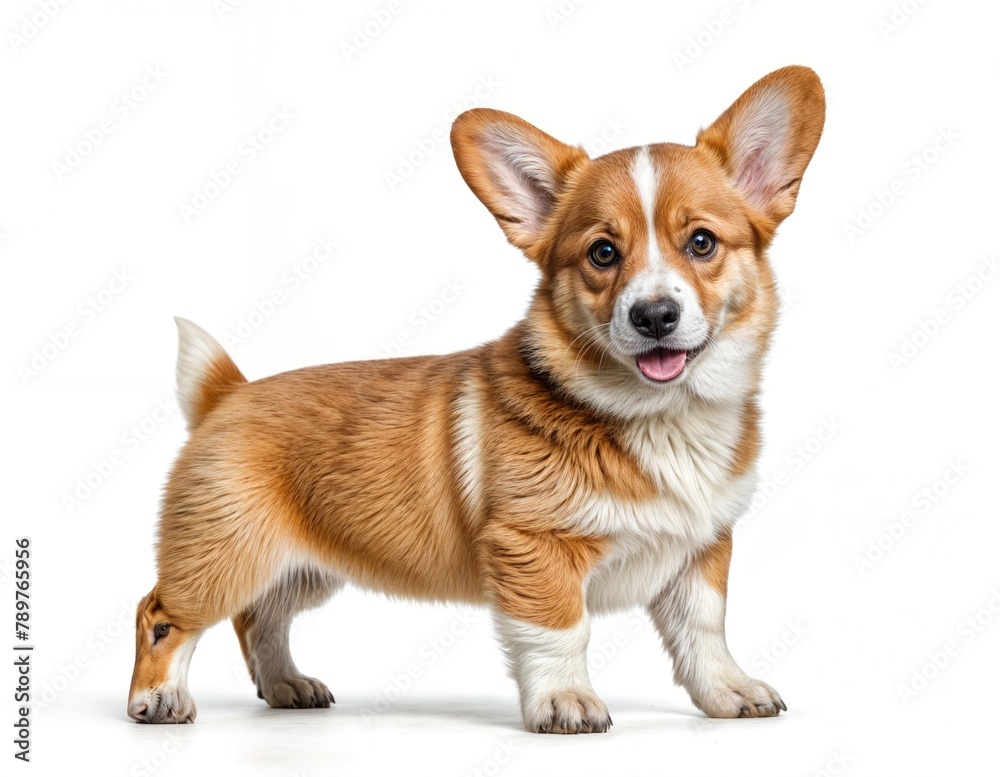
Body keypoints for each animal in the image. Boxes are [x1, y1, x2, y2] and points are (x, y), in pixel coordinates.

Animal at [129, 63, 824, 732]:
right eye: (603, 253)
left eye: (702, 242)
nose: (654, 315)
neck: (660, 416)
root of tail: (229, 392)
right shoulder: (534, 548)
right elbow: (561, 632)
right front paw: (566, 702)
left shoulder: (699, 552)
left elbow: (704, 633)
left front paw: (729, 693)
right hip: (226, 554)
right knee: (161, 612)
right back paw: (158, 699)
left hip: (304, 568)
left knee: (260, 618)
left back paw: (285, 687)